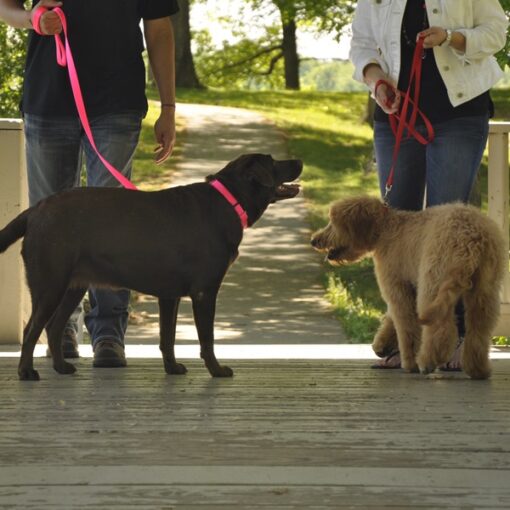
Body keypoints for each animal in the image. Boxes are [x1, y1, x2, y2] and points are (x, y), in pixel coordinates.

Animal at [310, 195, 506, 378]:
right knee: (479, 330)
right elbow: (392, 318)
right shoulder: (405, 286)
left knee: (442, 328)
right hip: (485, 289)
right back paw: (478, 369)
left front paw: (409, 362)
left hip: (433, 280)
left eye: (333, 223)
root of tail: (472, 237)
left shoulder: (395, 285)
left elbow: (405, 325)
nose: (314, 241)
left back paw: (428, 361)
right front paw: (382, 344)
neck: (386, 227)